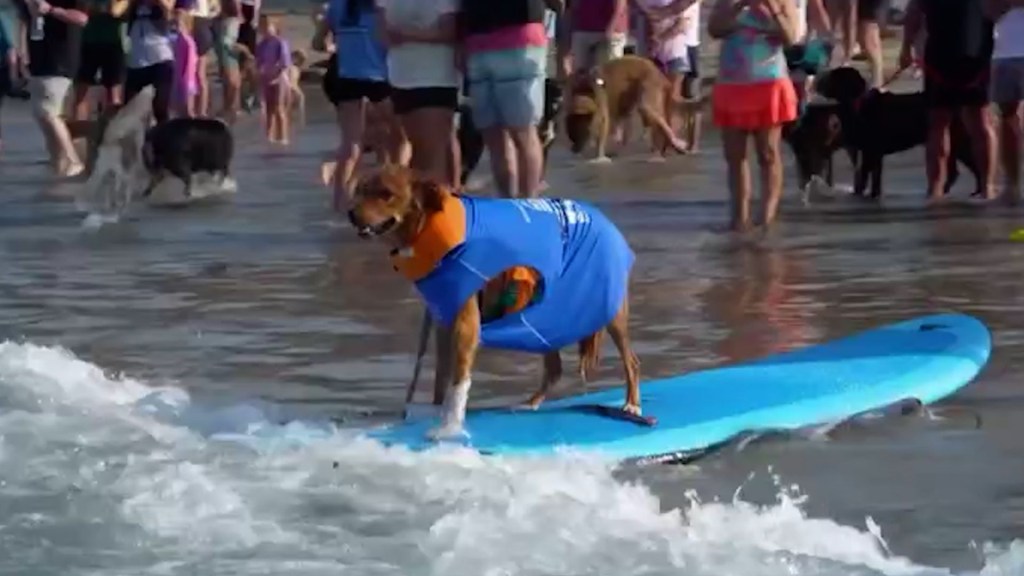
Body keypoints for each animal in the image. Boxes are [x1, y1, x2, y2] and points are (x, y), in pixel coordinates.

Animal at [348, 163, 643, 436]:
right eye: (361, 189)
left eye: (386, 194)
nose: (351, 214)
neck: (427, 227)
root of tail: (602, 218)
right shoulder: (443, 321)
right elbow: (441, 378)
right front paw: (435, 414)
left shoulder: (466, 325)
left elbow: (459, 382)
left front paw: (449, 428)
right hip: (545, 316)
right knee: (555, 368)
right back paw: (529, 405)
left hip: (610, 311)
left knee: (631, 361)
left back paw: (632, 405)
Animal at [811, 66, 978, 196]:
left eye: (834, 75)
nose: (817, 79)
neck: (858, 102)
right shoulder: (874, 152)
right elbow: (875, 176)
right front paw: (874, 194)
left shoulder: (870, 151)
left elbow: (865, 174)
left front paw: (861, 193)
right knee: (954, 170)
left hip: (959, 142)